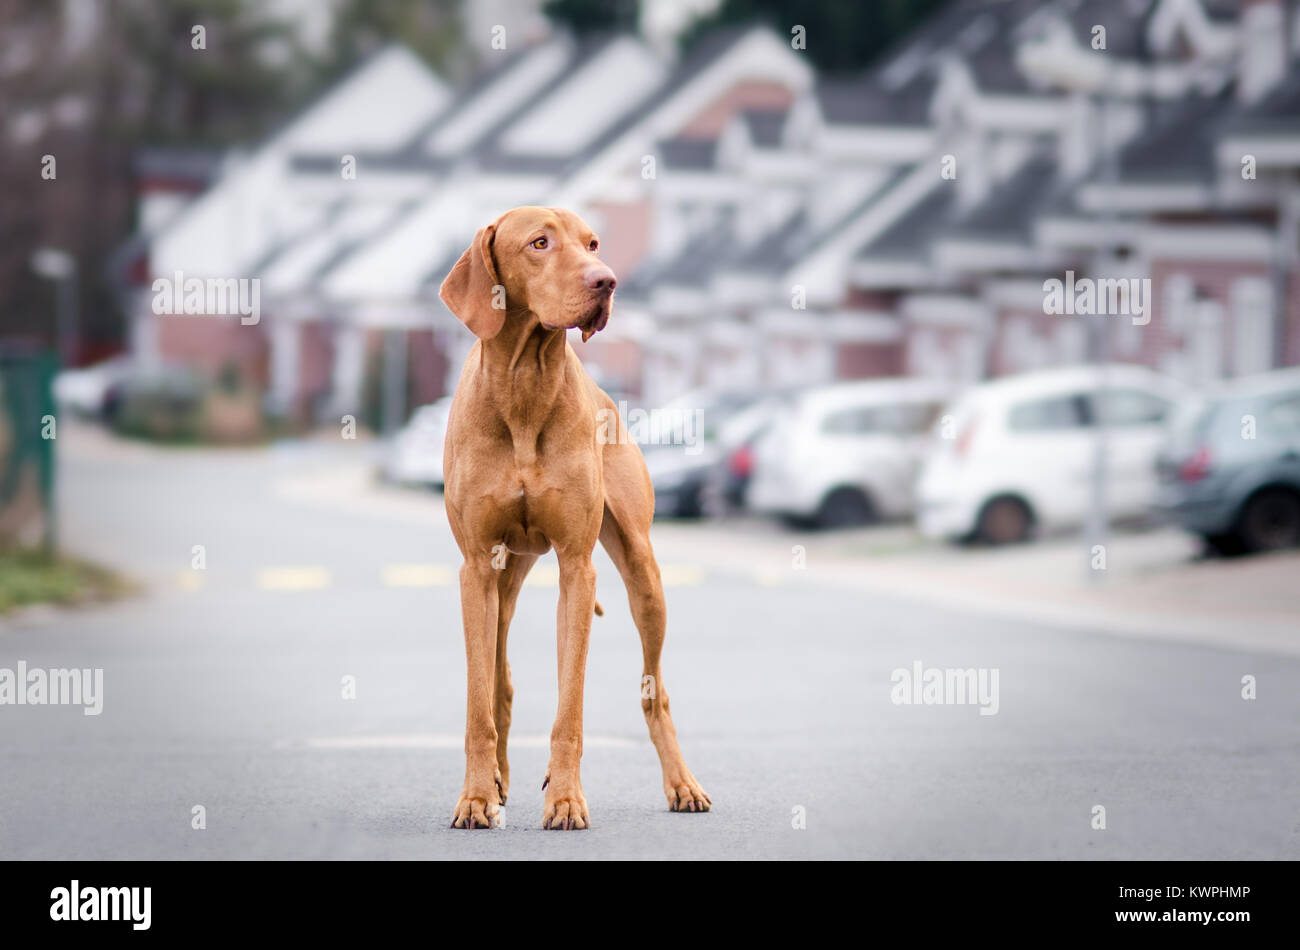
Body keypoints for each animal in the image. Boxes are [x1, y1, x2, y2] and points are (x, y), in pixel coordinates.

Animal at [444, 204, 712, 826]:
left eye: (592, 243)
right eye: (539, 243)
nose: (606, 281)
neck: (524, 385)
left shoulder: (575, 565)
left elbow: (571, 705)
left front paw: (565, 798)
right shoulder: (475, 567)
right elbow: (477, 705)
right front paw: (476, 796)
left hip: (643, 577)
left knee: (655, 691)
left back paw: (682, 784)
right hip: (502, 580)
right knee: (498, 680)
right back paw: (498, 780)